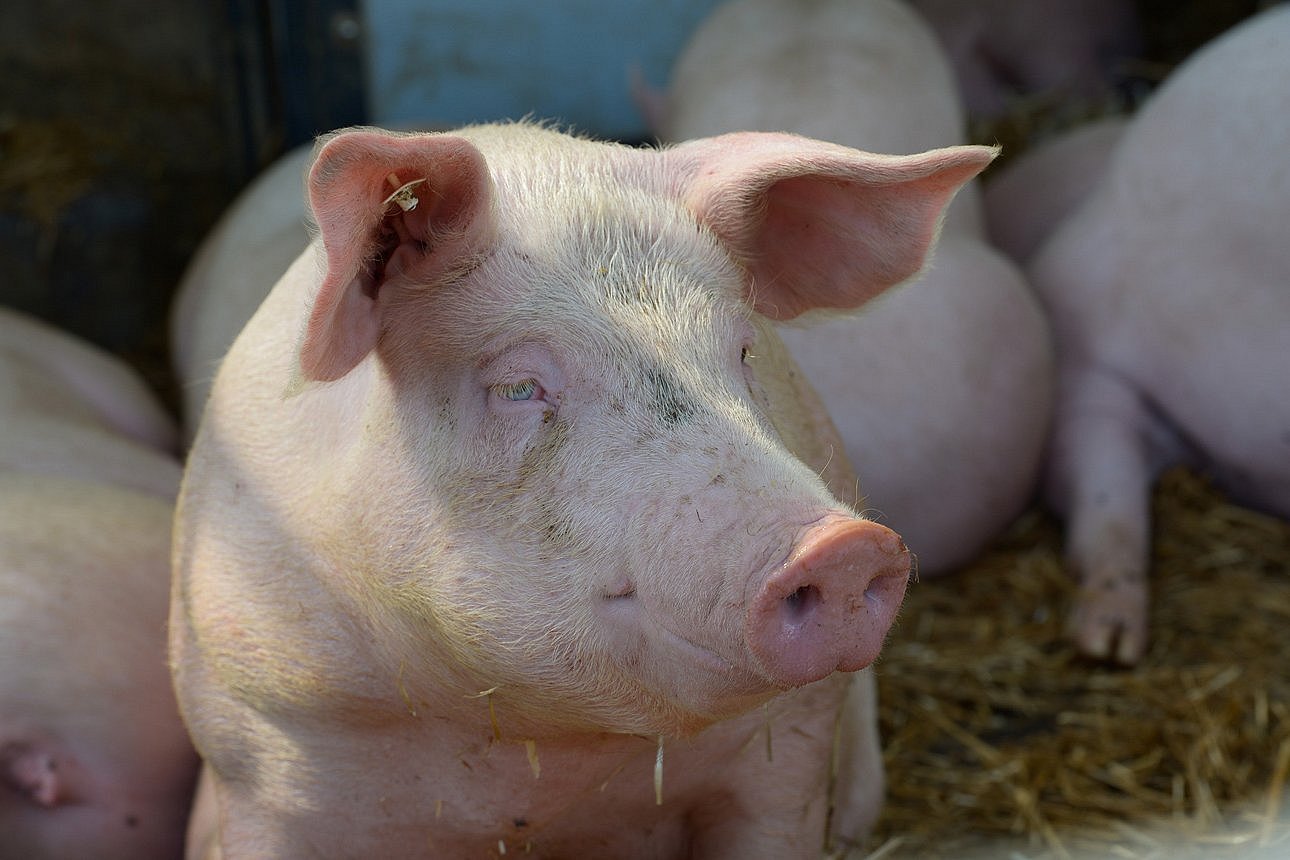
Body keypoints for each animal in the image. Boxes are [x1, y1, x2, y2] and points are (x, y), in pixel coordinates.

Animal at [168, 122, 995, 860]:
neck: (537, 770)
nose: (843, 547)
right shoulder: (262, 745)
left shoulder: (790, 748)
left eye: (742, 353)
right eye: (518, 386)